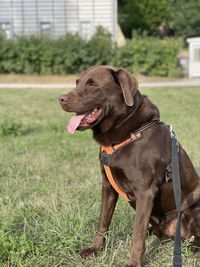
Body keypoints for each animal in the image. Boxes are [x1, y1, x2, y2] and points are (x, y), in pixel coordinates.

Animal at [59, 65, 200, 267]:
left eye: (93, 84)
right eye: (77, 82)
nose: (61, 99)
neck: (126, 132)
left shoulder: (145, 191)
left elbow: (138, 235)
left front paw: (133, 262)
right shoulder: (108, 186)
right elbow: (103, 221)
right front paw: (95, 249)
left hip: (194, 207)